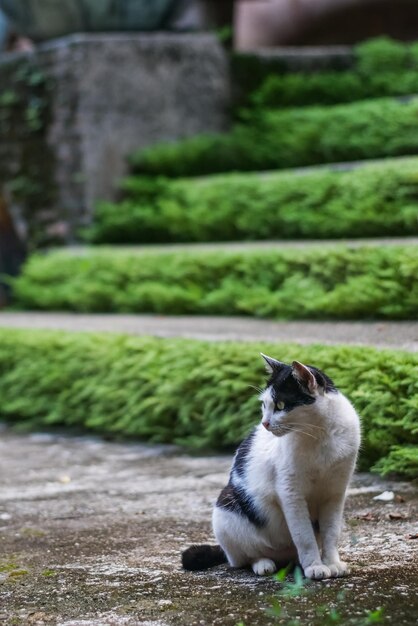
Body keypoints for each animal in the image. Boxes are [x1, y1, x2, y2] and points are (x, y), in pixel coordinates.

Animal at [181, 354, 360, 576]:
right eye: (264, 405)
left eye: (281, 405)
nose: (265, 423)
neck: (319, 434)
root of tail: (283, 556)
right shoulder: (290, 492)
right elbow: (304, 536)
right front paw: (315, 567)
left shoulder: (335, 493)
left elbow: (331, 533)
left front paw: (332, 563)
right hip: (225, 511)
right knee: (246, 557)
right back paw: (264, 564)